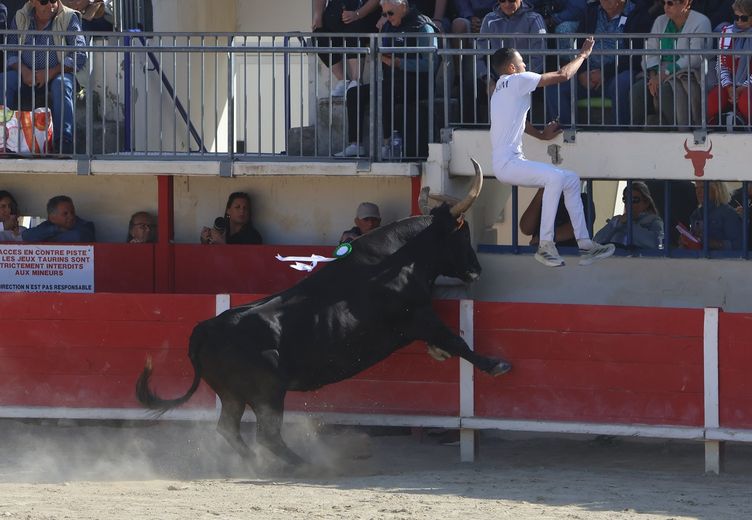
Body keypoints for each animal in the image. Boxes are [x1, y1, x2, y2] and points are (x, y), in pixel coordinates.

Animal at [135, 160, 512, 466]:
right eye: (462, 234)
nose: (476, 270)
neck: (400, 259)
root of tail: (204, 329)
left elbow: (450, 343)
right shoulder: (419, 315)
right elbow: (457, 341)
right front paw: (496, 365)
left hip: (233, 394)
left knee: (229, 428)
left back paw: (260, 463)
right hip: (268, 391)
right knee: (266, 433)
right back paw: (301, 464)